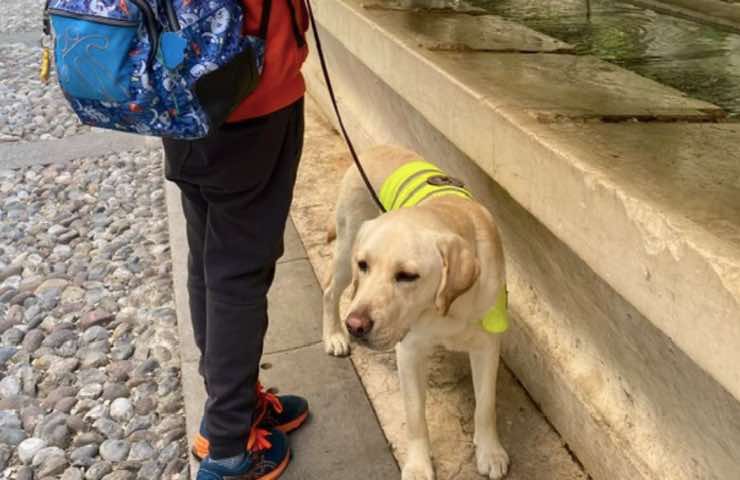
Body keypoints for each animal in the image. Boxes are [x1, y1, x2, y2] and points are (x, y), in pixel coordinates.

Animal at [324, 145, 508, 480]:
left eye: (407, 276)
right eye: (365, 264)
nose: (355, 326)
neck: (445, 308)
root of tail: (372, 148)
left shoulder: (488, 345)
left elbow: (486, 405)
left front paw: (490, 450)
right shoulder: (409, 351)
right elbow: (415, 416)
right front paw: (419, 465)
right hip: (346, 252)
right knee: (332, 291)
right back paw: (333, 336)